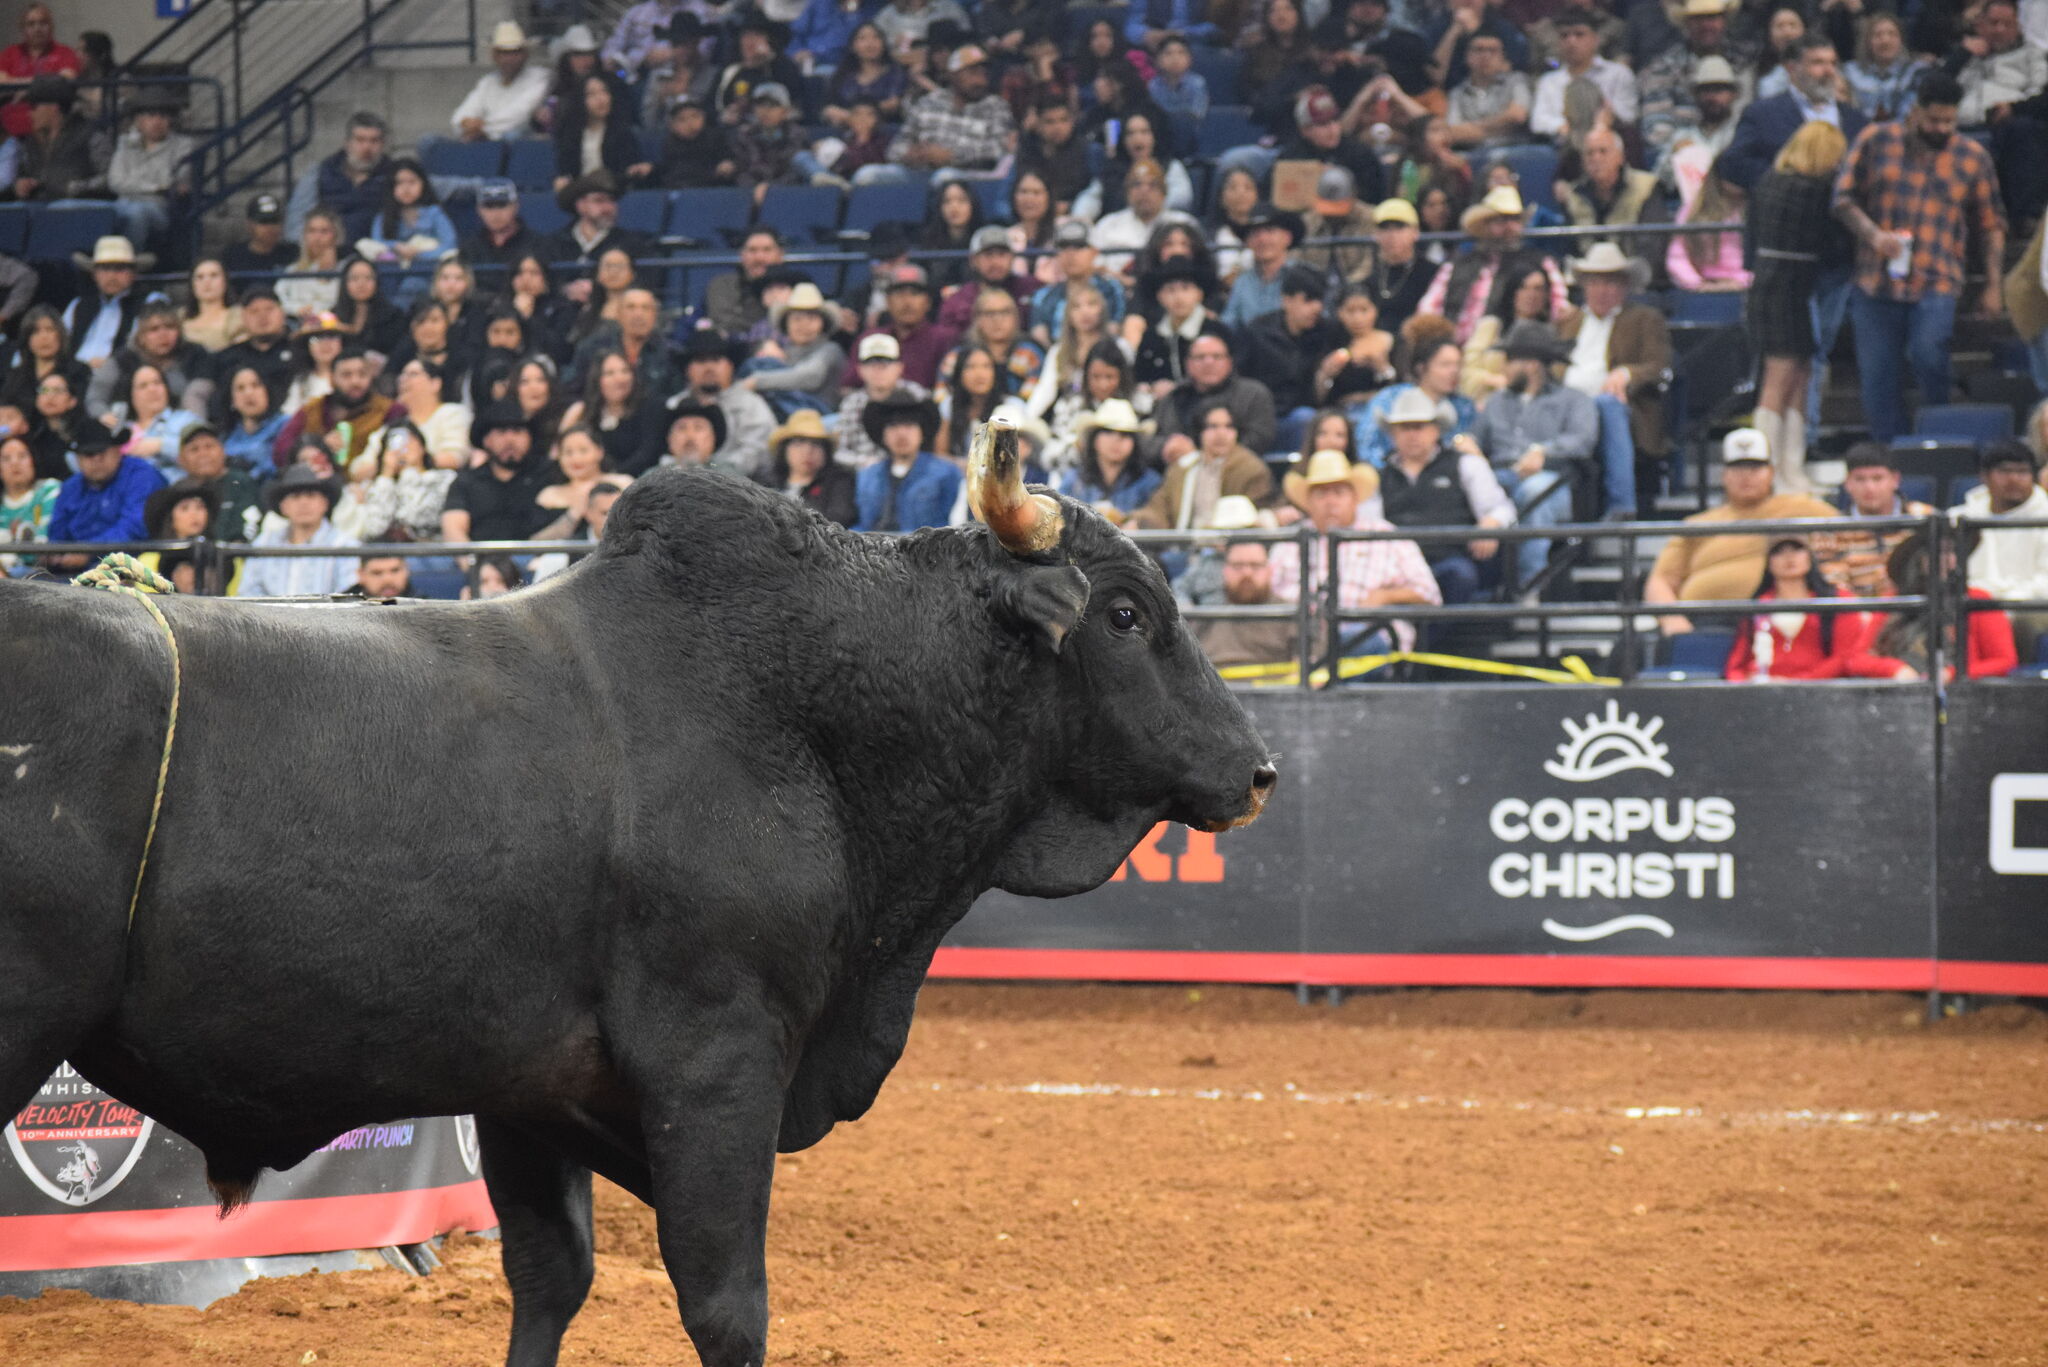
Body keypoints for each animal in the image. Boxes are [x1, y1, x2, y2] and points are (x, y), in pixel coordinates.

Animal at [0, 417, 1273, 1367]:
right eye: (1124, 613)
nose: (1255, 768)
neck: (806, 711)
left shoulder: (522, 1088)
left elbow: (548, 1278)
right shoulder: (717, 1061)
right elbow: (724, 1302)